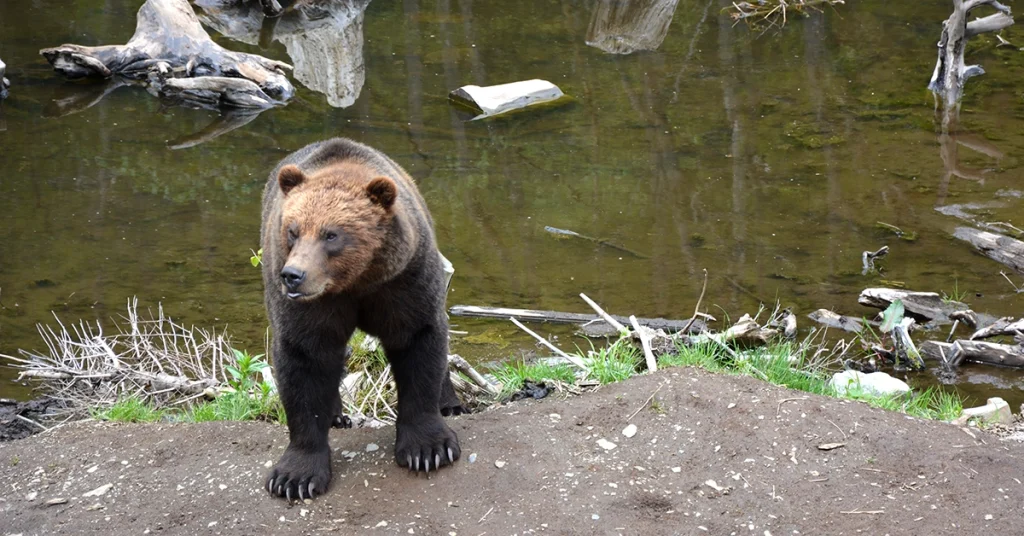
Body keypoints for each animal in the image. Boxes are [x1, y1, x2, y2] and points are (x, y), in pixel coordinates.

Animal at [260, 138, 464, 501]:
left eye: (331, 234)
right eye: (293, 231)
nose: (293, 276)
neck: (354, 282)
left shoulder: (402, 281)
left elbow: (418, 343)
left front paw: (429, 449)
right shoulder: (311, 309)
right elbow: (304, 360)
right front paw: (294, 477)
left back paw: (450, 403)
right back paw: (336, 415)